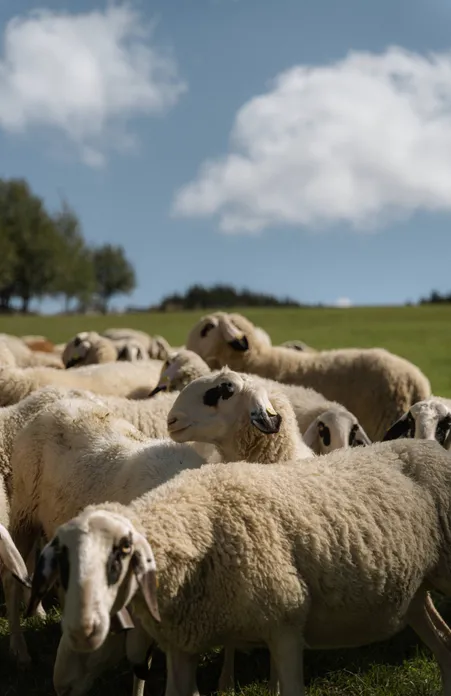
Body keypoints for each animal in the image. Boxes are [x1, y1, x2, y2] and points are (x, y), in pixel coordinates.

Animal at [29, 438, 451, 696]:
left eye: (117, 559)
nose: (59, 685)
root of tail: (430, 445)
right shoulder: (183, 645)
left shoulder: (285, 626)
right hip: (414, 593)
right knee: (443, 642)